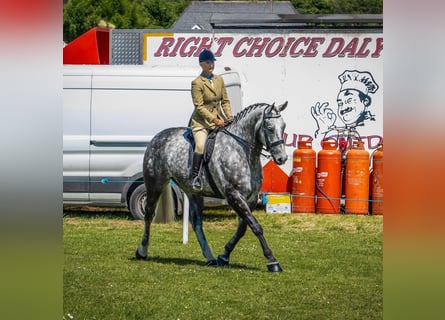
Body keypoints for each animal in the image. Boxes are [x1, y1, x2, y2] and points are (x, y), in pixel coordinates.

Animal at [135, 101, 288, 272]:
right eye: (269, 127)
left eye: (283, 126)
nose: (282, 158)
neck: (241, 151)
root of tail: (158, 136)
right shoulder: (233, 195)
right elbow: (255, 226)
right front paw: (272, 261)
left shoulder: (251, 199)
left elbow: (243, 228)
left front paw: (224, 256)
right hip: (155, 185)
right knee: (149, 214)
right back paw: (142, 251)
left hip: (193, 193)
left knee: (196, 223)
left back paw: (209, 257)